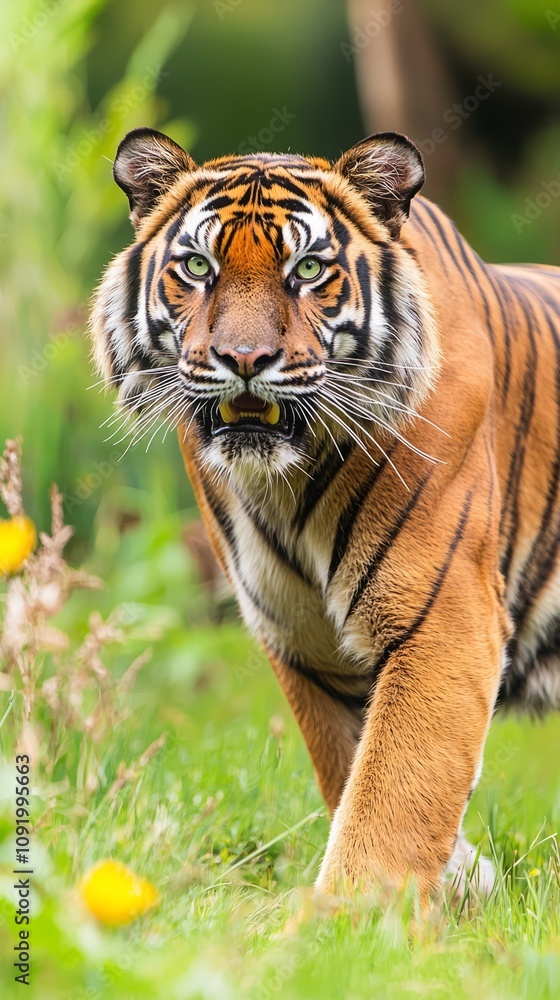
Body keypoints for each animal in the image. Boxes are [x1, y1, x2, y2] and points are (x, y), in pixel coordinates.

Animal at [90, 126, 560, 905]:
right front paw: (449, 887)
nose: (244, 358)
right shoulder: (305, 644)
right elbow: (352, 773)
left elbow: (393, 789)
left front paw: (346, 917)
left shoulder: (443, 618)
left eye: (308, 269)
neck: (282, 487)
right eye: (198, 266)